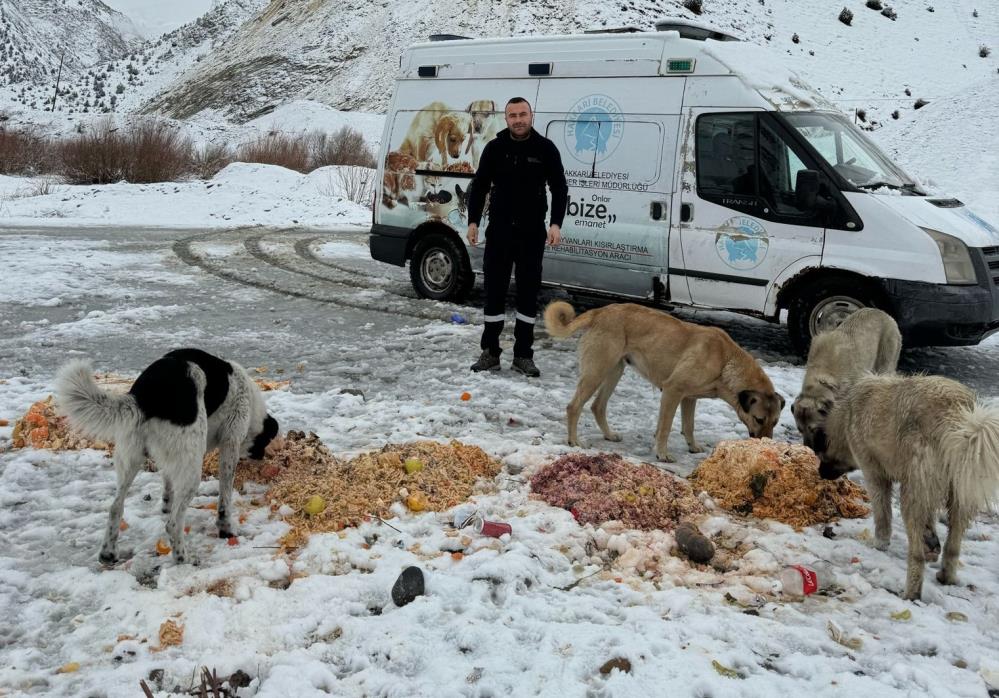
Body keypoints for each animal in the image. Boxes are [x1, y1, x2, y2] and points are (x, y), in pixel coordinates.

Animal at [56, 346, 280, 564]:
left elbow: (167, 482)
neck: (249, 401)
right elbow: (224, 498)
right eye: (265, 442)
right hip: (192, 467)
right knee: (173, 524)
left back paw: (108, 554)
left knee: (115, 508)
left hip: (131, 458)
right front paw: (226, 529)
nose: (262, 457)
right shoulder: (230, 444)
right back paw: (183, 557)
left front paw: (165, 504)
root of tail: (145, 395)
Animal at [544, 300, 784, 460]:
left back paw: (609, 435)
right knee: (574, 406)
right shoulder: (672, 391)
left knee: (597, 406)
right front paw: (662, 453)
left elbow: (688, 425)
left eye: (775, 422)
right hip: (596, 371)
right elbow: (666, 427)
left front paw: (692, 446)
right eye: (759, 419)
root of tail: (599, 311)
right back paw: (574, 441)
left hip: (614, 371)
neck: (726, 361)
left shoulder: (689, 398)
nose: (766, 445)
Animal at [792, 308, 904, 446]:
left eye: (813, 429)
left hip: (886, 357)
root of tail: (885, 314)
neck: (822, 377)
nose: (808, 447)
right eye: (800, 429)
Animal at [816, 376, 999, 600]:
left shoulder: (875, 475)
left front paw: (880, 544)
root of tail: (956, 412)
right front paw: (931, 543)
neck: (845, 415)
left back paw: (911, 593)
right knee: (953, 546)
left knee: (916, 555)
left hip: (912, 493)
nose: (820, 472)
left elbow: (883, 516)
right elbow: (929, 522)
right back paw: (945, 576)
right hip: (959, 494)